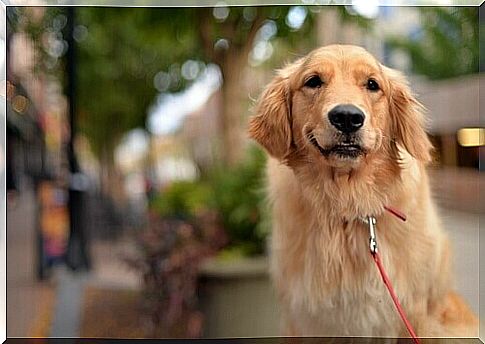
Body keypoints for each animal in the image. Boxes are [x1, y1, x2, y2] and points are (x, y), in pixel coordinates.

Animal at [248, 44, 474, 338]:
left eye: (372, 84)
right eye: (313, 81)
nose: (347, 117)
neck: (348, 202)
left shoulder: (413, 311)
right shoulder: (302, 318)